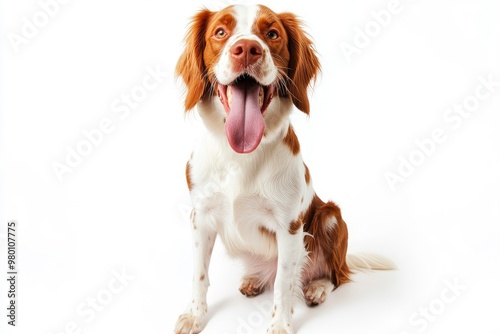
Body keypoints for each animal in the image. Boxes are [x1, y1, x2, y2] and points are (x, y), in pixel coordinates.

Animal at [174, 3, 392, 332]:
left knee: (335, 275)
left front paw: (280, 324)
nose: (246, 49)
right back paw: (254, 279)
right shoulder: (201, 216)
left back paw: (317, 287)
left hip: (331, 216)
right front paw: (195, 315)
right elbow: (199, 274)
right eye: (220, 32)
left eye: (272, 34)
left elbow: (283, 283)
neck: (240, 156)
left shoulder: (289, 226)